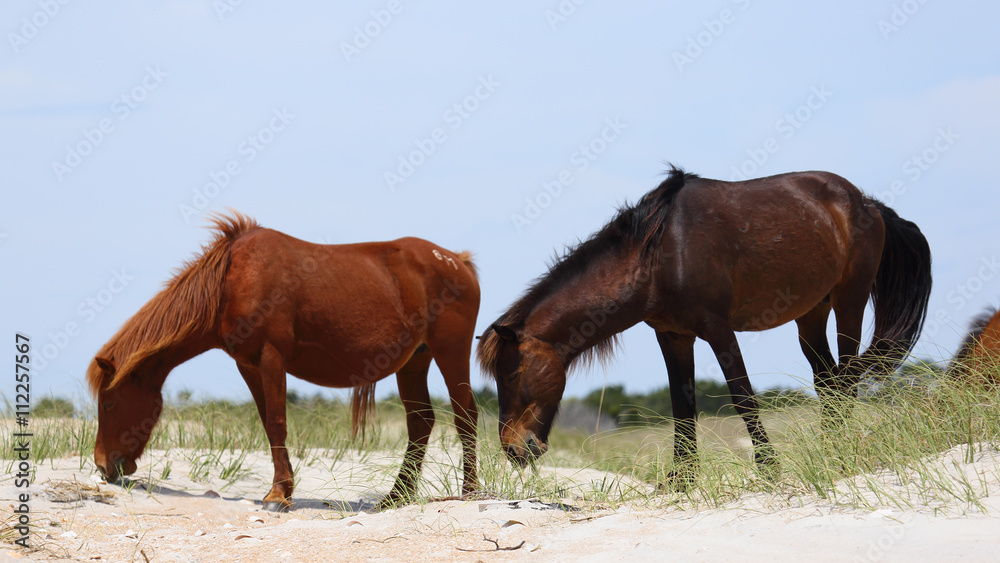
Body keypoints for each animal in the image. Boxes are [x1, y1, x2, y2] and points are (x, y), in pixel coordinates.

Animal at [87, 212, 481, 511]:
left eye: (108, 403)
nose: (103, 466)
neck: (230, 281)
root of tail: (457, 260)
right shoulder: (248, 365)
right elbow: (268, 422)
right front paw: (284, 487)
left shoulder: (271, 357)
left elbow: (277, 421)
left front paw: (277, 495)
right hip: (414, 361)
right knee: (420, 423)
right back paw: (396, 497)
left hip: (450, 353)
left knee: (465, 416)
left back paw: (470, 492)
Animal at [477, 168, 932, 484]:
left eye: (512, 374)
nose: (514, 450)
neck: (659, 256)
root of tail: (867, 203)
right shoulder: (673, 336)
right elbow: (683, 408)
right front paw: (681, 481)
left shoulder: (718, 329)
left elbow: (743, 398)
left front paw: (770, 471)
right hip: (811, 313)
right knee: (829, 381)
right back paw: (828, 452)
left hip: (849, 300)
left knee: (847, 377)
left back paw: (840, 455)